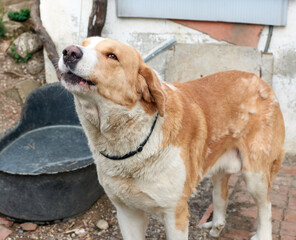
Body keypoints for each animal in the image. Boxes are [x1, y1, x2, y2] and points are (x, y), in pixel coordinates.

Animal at [58, 36, 284, 240]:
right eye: (83, 43)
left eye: (112, 56)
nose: (69, 51)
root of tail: (261, 81)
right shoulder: (127, 213)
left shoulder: (175, 214)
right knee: (222, 193)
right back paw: (217, 225)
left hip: (254, 176)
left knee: (266, 206)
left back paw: (262, 235)